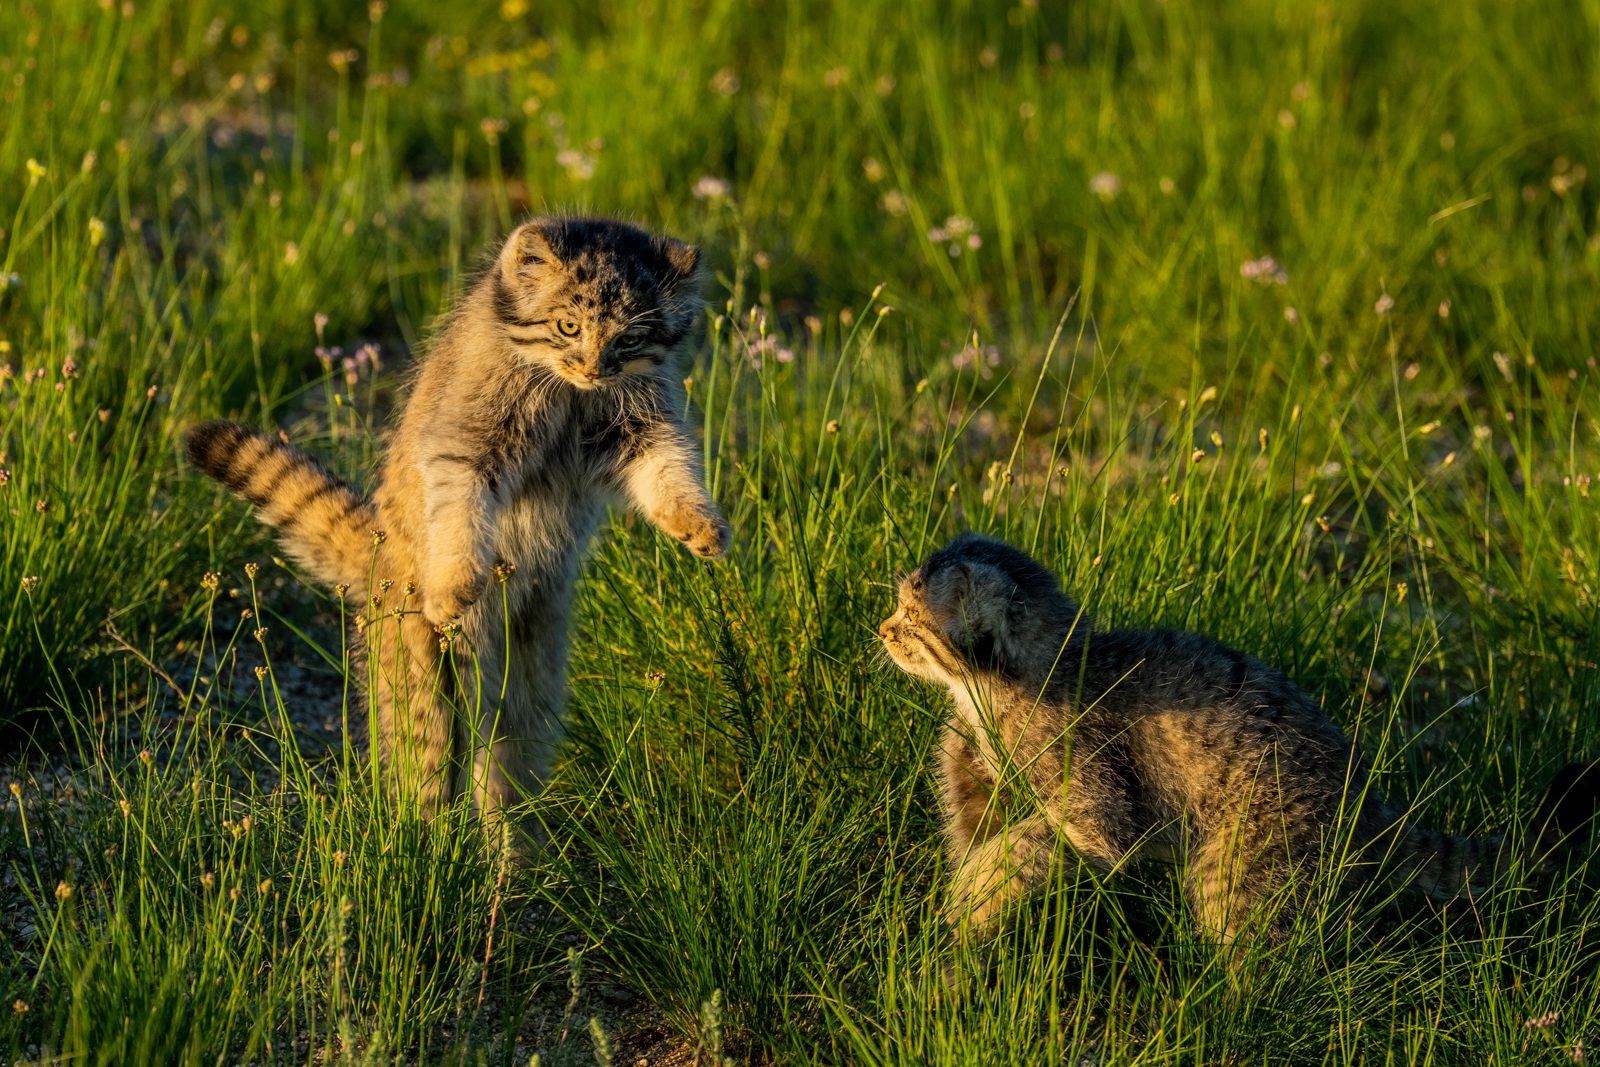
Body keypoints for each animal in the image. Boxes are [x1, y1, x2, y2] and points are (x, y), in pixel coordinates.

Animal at [185, 217, 726, 831]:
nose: (594, 368)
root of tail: (376, 554)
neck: (566, 393)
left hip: (530, 668)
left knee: (508, 764)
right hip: (418, 671)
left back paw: (514, 851)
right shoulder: (466, 440)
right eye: (568, 326)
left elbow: (668, 469)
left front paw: (698, 524)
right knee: (425, 772)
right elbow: (460, 510)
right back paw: (423, 843)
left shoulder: (640, 426)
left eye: (629, 340)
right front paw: (454, 583)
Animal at [883, 534, 1600, 953]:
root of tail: (1366, 802)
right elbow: (983, 834)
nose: (882, 629)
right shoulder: (978, 780)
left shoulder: (1098, 811)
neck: (984, 697)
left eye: (912, 617)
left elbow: (1027, 845)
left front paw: (974, 895)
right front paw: (966, 922)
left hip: (1241, 863)